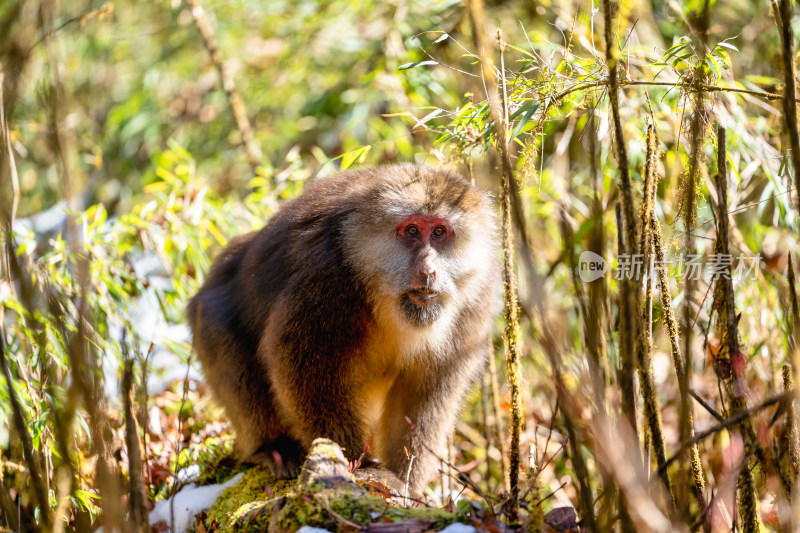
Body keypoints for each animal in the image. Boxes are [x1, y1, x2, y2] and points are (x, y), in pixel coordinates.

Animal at [188, 164, 500, 492]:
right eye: (412, 231)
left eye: (439, 232)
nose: (428, 270)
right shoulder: (327, 277)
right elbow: (300, 369)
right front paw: (351, 462)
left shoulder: (478, 300)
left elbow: (427, 392)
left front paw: (407, 484)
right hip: (209, 318)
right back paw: (273, 448)